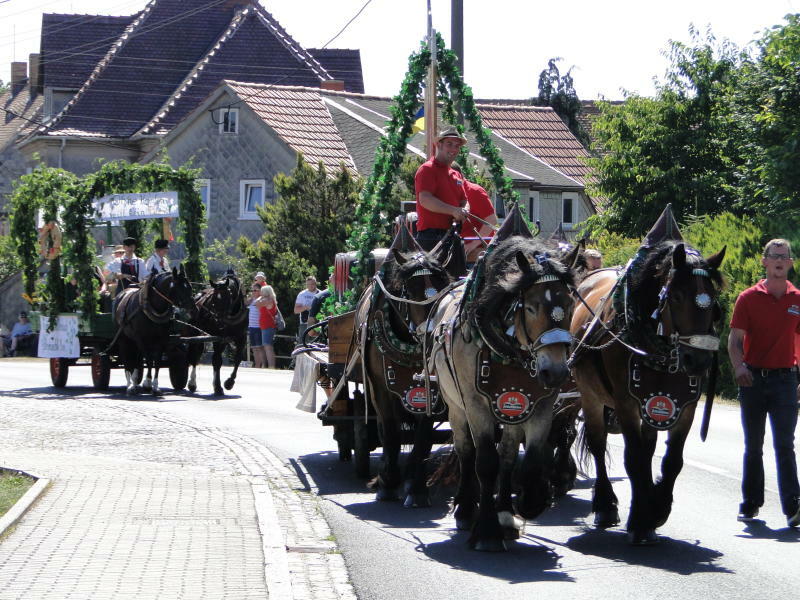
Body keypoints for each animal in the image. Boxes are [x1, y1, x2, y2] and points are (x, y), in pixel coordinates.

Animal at [114, 264, 197, 396]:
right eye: (180, 289)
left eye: (189, 287)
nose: (194, 310)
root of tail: (122, 293)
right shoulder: (141, 338)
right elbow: (148, 359)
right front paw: (148, 383)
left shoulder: (162, 339)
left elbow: (156, 361)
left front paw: (155, 386)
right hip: (123, 338)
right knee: (126, 357)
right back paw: (130, 385)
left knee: (137, 358)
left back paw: (135, 380)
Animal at [358, 232, 462, 508]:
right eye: (411, 290)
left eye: (442, 287)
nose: (431, 333)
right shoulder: (381, 390)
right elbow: (392, 434)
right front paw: (388, 484)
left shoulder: (431, 392)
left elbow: (423, 438)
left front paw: (416, 488)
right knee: (384, 431)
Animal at [568, 239, 724, 544]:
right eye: (676, 296)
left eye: (712, 299)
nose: (698, 361)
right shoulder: (626, 404)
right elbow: (634, 458)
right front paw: (641, 519)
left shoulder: (685, 406)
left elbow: (671, 460)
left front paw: (657, 508)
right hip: (589, 395)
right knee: (598, 443)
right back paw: (604, 504)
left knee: (648, 446)